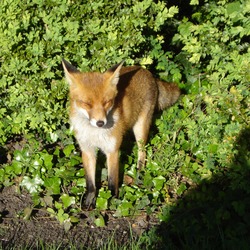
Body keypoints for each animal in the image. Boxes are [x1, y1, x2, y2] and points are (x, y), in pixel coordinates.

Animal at [62, 59, 180, 207]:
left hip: (140, 129)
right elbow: (90, 182)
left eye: (107, 102)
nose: (100, 123)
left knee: (142, 152)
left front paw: (113, 201)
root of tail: (147, 72)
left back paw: (139, 173)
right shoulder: (87, 149)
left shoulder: (112, 150)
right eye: (87, 104)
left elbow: (112, 181)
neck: (94, 133)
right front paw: (90, 200)